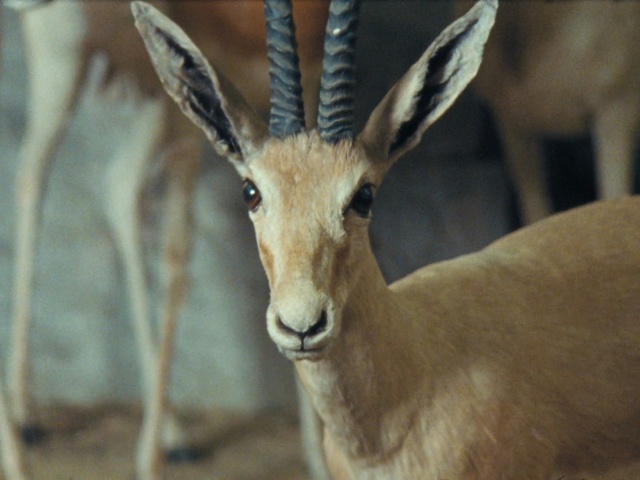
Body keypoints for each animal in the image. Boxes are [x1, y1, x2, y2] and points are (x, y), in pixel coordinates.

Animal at [4, 1, 329, 479]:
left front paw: (319, 457)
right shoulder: (186, 115)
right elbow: (176, 257)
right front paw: (148, 459)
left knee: (114, 192)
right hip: (66, 64)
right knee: (39, 176)